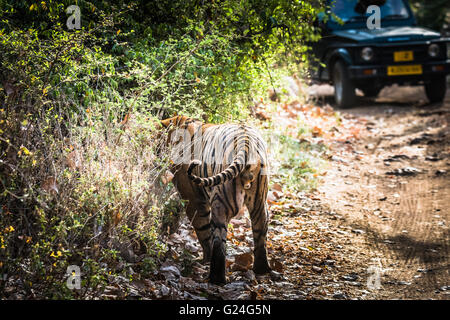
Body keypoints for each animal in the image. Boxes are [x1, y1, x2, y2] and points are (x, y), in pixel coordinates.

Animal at [159, 115, 270, 284]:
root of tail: (245, 141)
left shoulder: (193, 200)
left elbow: (203, 233)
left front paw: (204, 259)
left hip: (221, 203)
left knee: (218, 241)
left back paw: (216, 278)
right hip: (259, 203)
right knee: (260, 233)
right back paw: (261, 269)